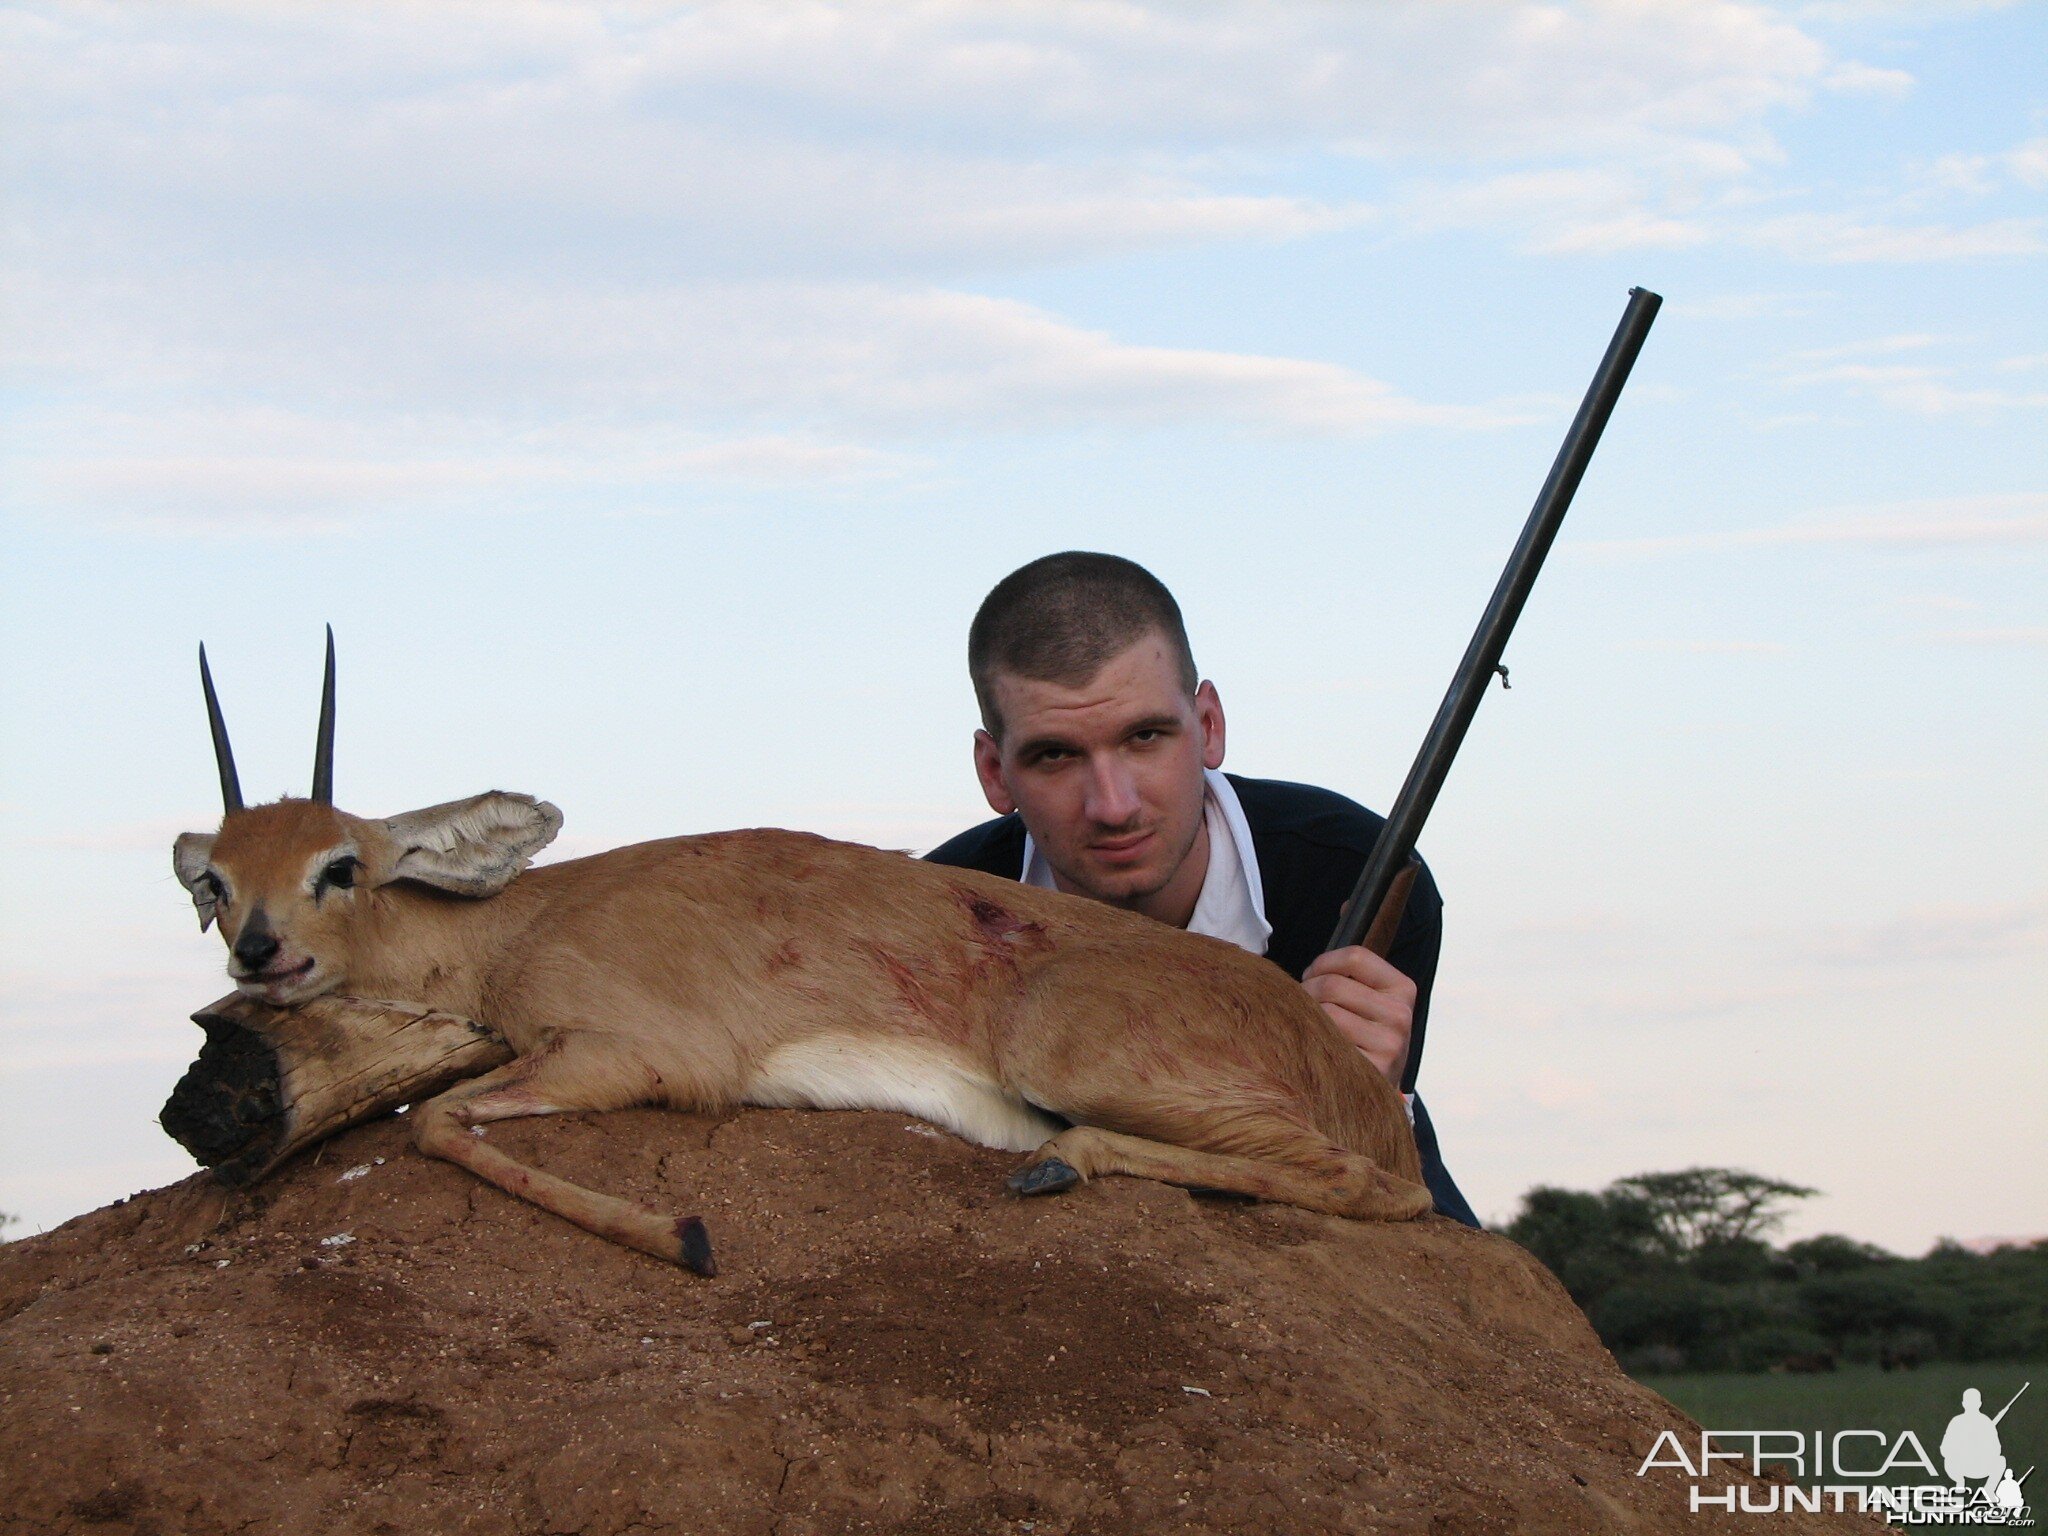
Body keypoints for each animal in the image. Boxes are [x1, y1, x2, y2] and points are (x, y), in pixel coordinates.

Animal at [172, 638, 1425, 1277]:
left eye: (341, 864)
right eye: (213, 880)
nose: (261, 951)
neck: (510, 927)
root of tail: (1351, 1075)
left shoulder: (640, 1054)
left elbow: (429, 1122)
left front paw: (684, 1237)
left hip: (1079, 1060)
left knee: (1377, 1187)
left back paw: (1058, 1163)